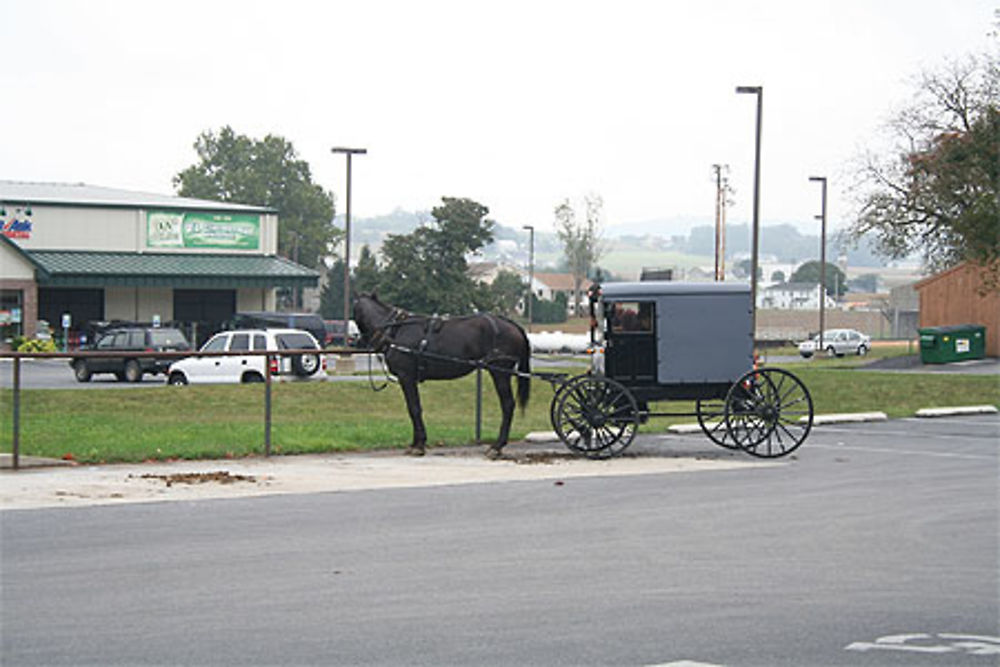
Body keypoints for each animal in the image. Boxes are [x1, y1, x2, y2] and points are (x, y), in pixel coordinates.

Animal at [356, 296, 536, 460]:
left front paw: (418, 445)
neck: (395, 330)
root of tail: (513, 325)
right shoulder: (409, 378)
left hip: (500, 373)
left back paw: (497, 446)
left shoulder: (406, 377)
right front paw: (416, 443)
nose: (358, 342)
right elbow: (415, 408)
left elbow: (414, 408)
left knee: (508, 405)